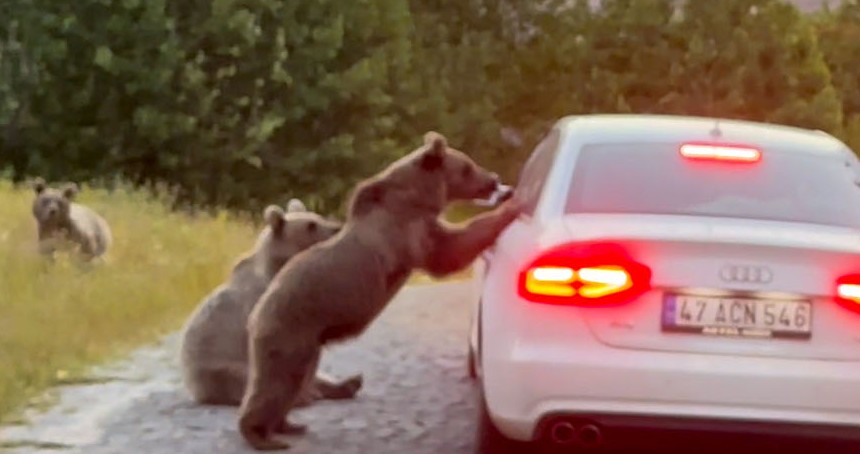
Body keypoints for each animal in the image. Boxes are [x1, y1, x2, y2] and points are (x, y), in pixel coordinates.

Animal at [235, 131, 524, 450]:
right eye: (467, 167)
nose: (494, 179)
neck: (419, 196)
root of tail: (255, 313)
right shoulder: (408, 230)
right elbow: (449, 249)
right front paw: (510, 209)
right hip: (290, 329)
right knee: (277, 381)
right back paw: (261, 434)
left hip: (309, 342)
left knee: (294, 381)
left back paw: (288, 425)